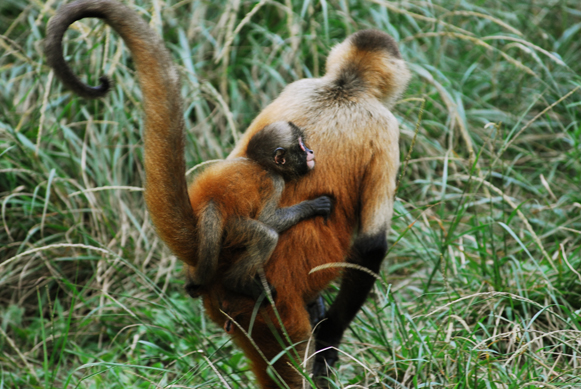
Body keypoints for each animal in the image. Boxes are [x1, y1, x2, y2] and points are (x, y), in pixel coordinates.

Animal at [186, 121, 330, 300]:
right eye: (301, 146)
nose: (310, 151)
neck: (263, 165)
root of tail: (212, 197)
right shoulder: (276, 181)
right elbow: (267, 219)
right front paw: (312, 206)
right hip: (232, 226)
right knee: (267, 236)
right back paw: (235, 283)